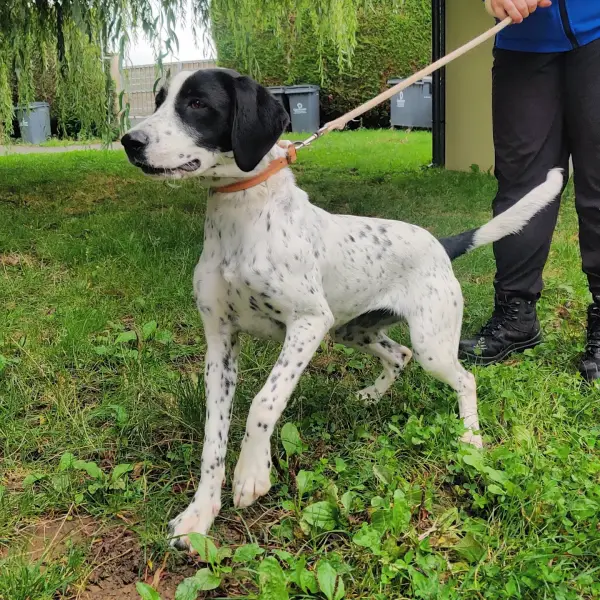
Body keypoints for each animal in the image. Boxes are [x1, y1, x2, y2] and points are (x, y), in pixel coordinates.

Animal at [121, 68, 562, 549]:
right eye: (159, 100)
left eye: (198, 103)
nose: (129, 141)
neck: (242, 217)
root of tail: (441, 244)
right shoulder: (220, 342)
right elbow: (212, 437)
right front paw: (200, 512)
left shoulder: (309, 323)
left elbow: (263, 403)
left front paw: (252, 473)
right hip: (354, 330)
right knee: (398, 354)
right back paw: (372, 395)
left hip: (430, 343)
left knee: (465, 379)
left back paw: (470, 439)